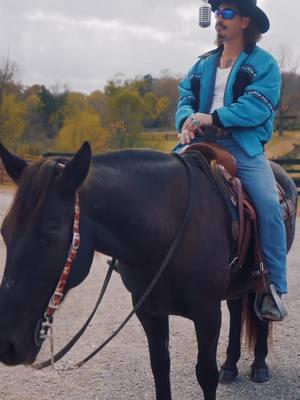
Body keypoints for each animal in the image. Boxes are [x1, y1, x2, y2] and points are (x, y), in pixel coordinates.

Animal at [0, 144, 296, 400]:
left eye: (50, 236)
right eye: (4, 231)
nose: (7, 343)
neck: (166, 231)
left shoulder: (207, 312)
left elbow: (206, 374)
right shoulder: (148, 311)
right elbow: (160, 369)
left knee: (259, 308)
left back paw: (259, 365)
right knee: (237, 308)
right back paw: (230, 366)